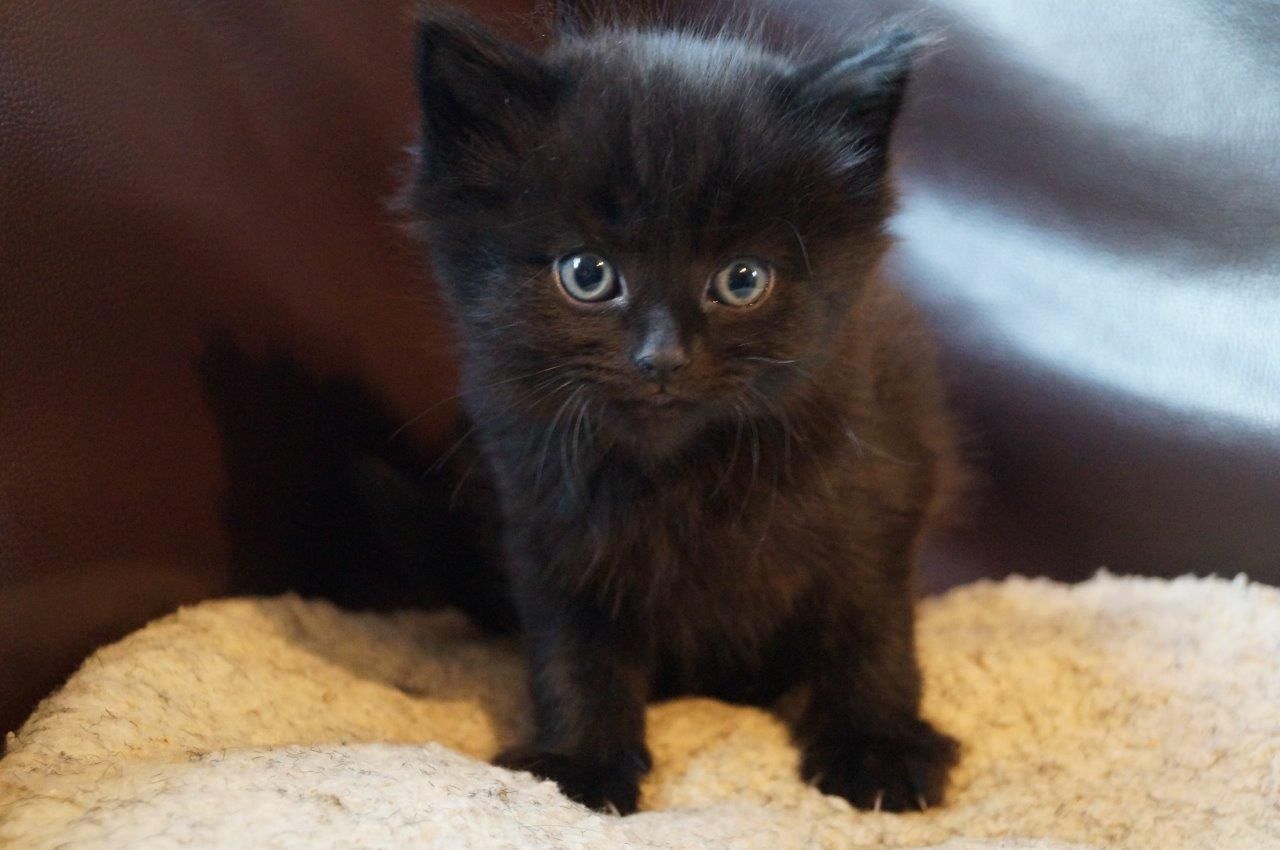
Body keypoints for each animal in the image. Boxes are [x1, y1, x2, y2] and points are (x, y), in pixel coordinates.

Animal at [409, 6, 962, 819]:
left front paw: (879, 748)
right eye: (587, 273)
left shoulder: (880, 493)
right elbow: (576, 652)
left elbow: (871, 630)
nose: (663, 358)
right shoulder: (547, 525)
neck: (680, 472)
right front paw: (579, 763)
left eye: (743, 280)